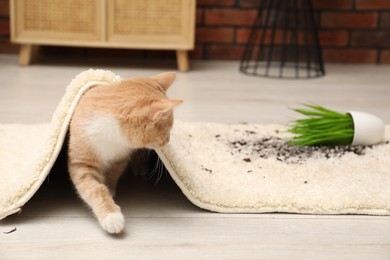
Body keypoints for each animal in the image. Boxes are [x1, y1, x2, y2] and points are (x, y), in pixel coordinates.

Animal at [68, 72, 181, 235]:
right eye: (167, 129)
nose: (168, 140)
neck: (111, 136)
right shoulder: (82, 163)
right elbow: (95, 189)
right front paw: (111, 215)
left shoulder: (120, 158)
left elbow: (113, 174)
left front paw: (110, 189)